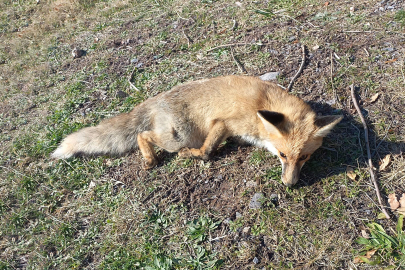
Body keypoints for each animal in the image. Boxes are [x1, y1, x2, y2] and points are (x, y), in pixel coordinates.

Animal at [50, 75, 340, 187]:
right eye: (282, 155)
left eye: (304, 157)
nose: (289, 185)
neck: (263, 104)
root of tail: (154, 100)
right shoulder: (224, 123)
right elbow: (208, 151)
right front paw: (194, 156)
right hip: (178, 136)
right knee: (142, 135)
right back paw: (149, 158)